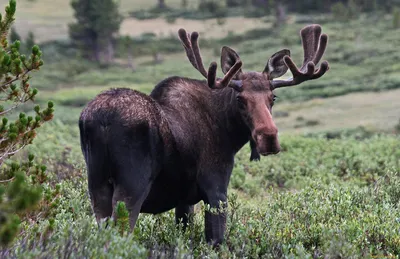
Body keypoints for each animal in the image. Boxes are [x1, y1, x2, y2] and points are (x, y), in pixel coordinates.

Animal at [78, 23, 328, 248]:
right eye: (240, 99)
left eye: (273, 97)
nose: (268, 138)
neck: (229, 133)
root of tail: (100, 119)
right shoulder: (216, 188)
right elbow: (216, 241)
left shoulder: (183, 201)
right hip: (131, 186)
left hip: (97, 187)